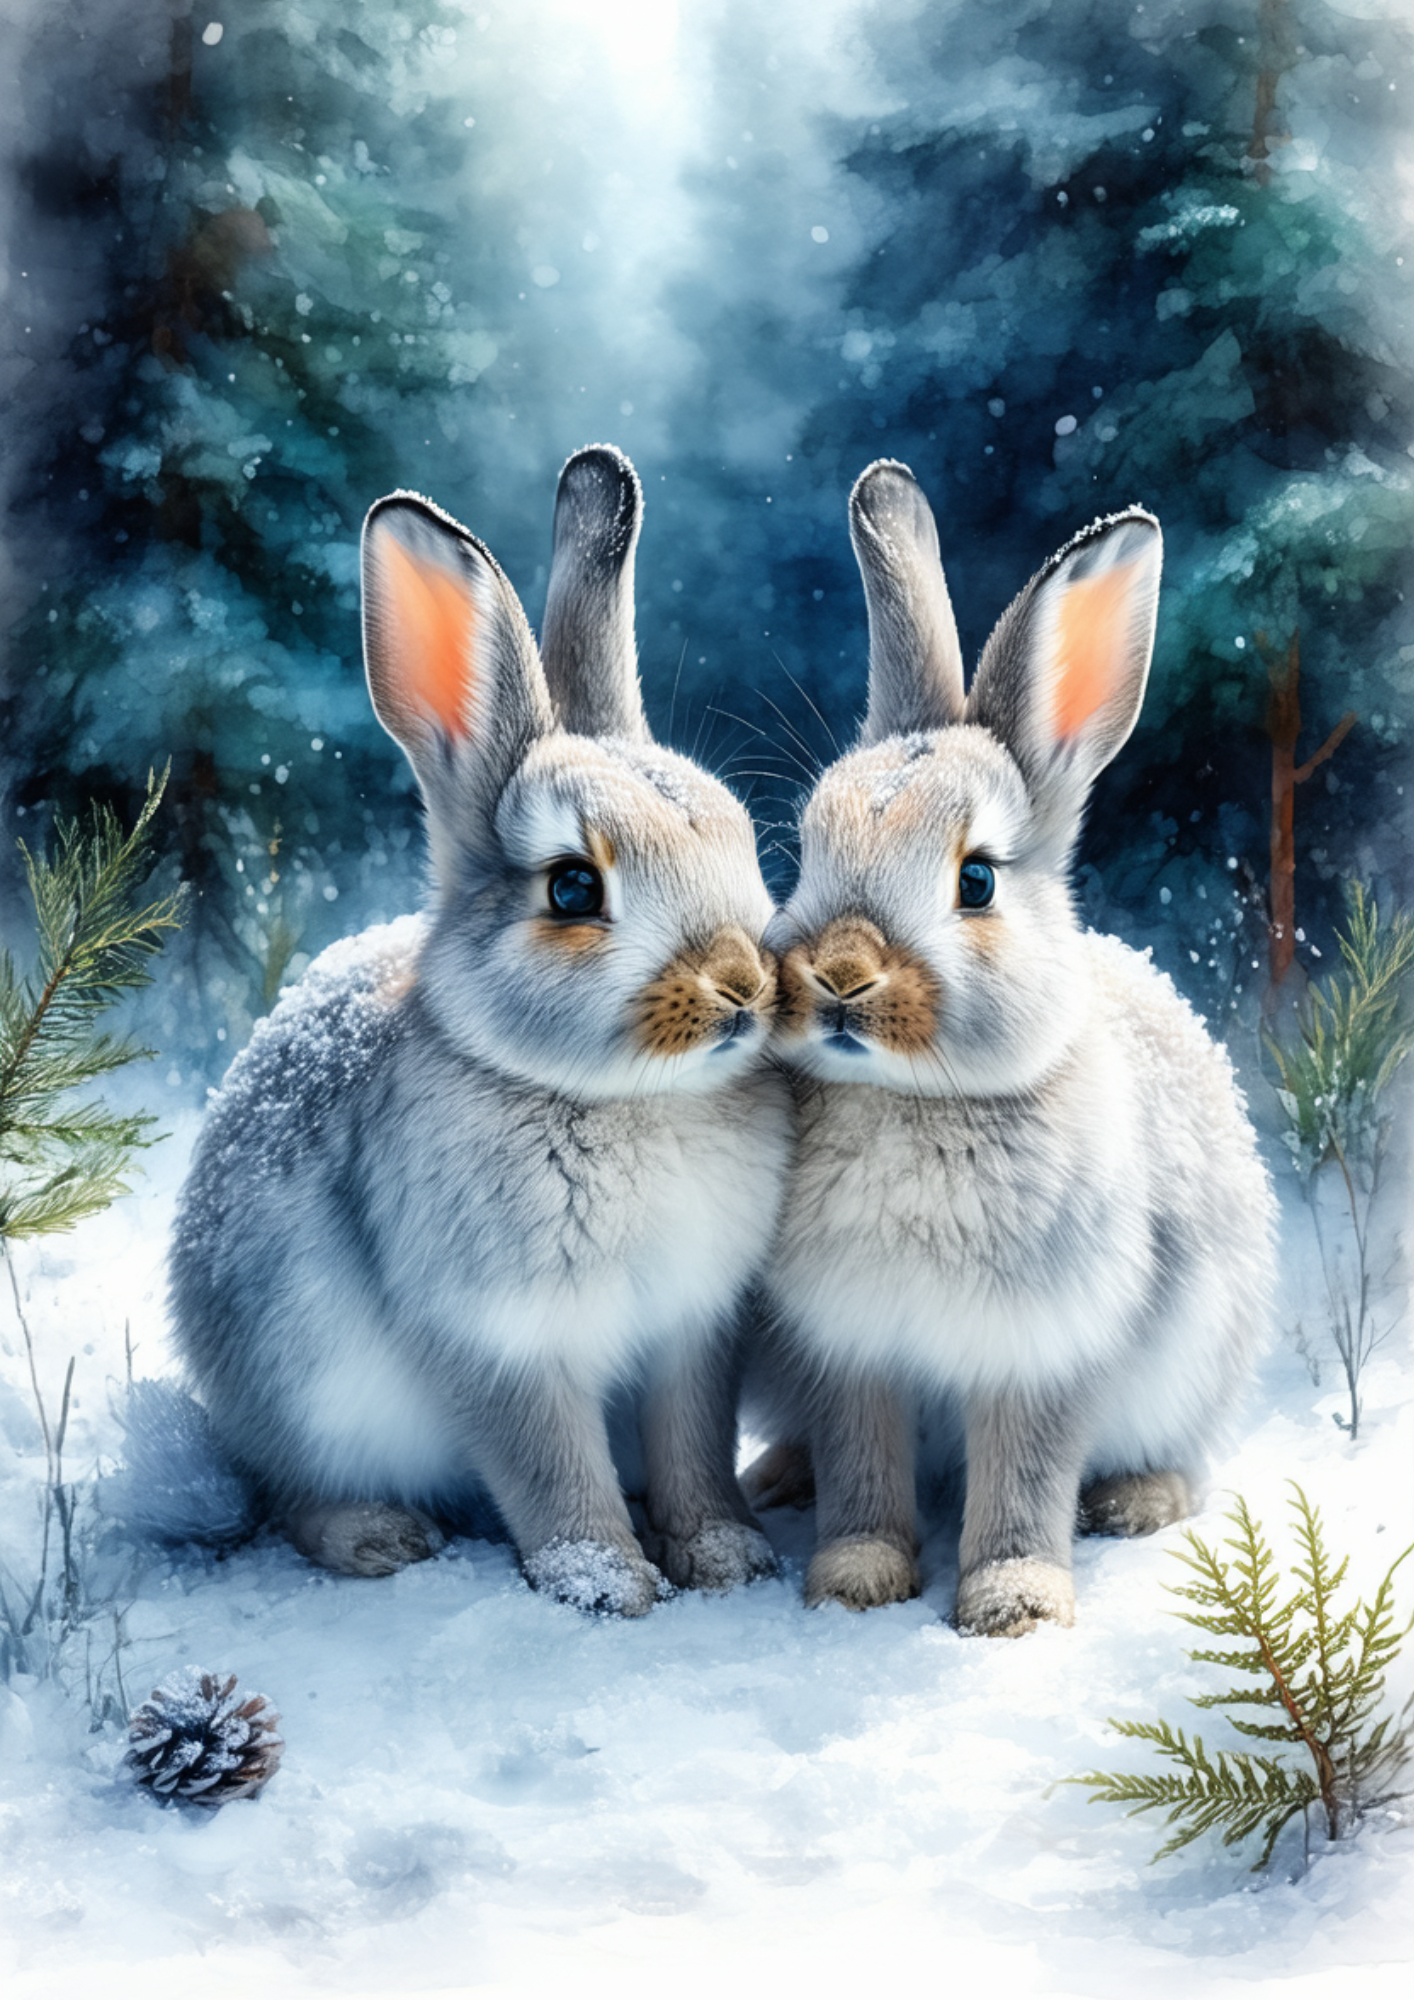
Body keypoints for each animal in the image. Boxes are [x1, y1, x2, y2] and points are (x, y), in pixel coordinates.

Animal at [169, 444, 791, 1615]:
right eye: (572, 887)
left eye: (737, 837)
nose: (741, 984)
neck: (618, 1097)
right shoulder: (500, 1340)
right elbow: (548, 1470)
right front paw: (608, 1583)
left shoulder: (695, 1334)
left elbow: (693, 1448)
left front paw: (725, 1556)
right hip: (305, 1398)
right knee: (290, 1495)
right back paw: (378, 1539)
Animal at [753, 459, 1275, 1636]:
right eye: (806, 848)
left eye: (978, 880)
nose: (840, 975)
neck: (922, 1099)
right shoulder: (847, 1348)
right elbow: (864, 1468)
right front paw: (854, 1579)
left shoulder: (1049, 1347)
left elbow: (1024, 1478)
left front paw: (1016, 1604)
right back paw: (777, 1479)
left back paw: (1138, 1499)